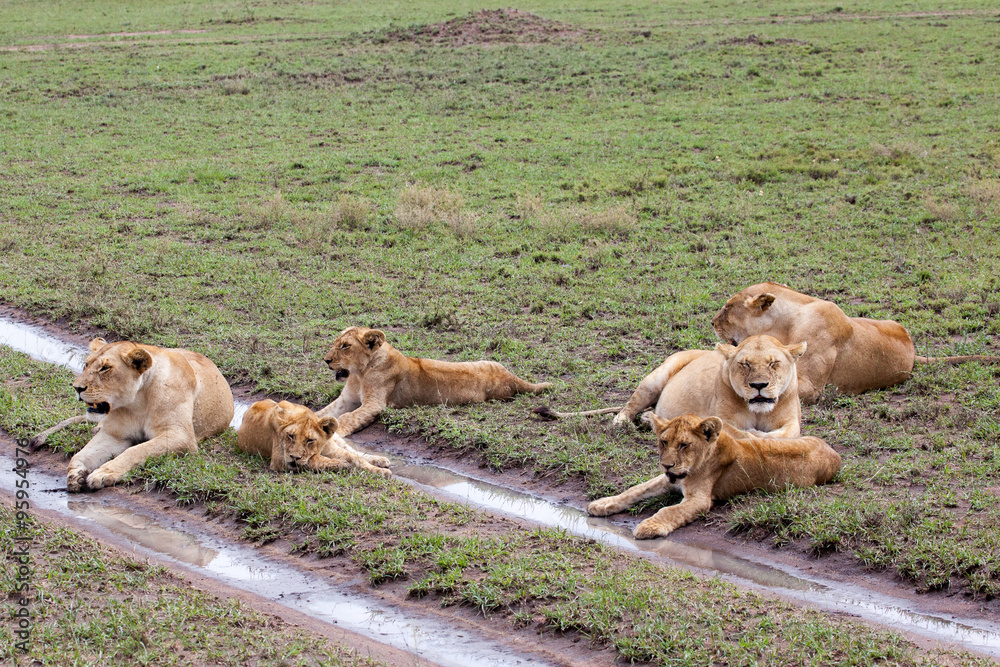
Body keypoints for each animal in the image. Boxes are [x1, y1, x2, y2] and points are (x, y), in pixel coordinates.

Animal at [65, 338, 234, 492]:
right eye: (86, 365)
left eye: (104, 368)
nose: (77, 388)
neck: (138, 403)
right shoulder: (114, 435)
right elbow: (81, 454)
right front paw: (76, 474)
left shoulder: (180, 436)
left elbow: (136, 451)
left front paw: (103, 473)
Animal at [237, 400, 392, 477]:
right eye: (290, 436)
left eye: (310, 440)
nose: (294, 457)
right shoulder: (280, 459)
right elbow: (315, 460)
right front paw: (341, 464)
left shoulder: (331, 449)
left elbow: (355, 457)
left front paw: (379, 471)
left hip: (335, 439)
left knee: (353, 451)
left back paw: (381, 460)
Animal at [317, 327, 553, 436]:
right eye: (336, 343)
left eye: (345, 346)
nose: (326, 359)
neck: (359, 373)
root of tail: (511, 376)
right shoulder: (346, 400)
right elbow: (323, 412)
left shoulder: (375, 403)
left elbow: (349, 417)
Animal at [536, 335, 806, 438]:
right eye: (745, 364)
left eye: (773, 363)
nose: (759, 385)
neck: (757, 411)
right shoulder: (721, 419)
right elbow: (741, 432)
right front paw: (754, 434)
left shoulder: (792, 421)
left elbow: (785, 434)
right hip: (655, 379)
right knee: (630, 406)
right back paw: (624, 422)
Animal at [587, 413, 841, 538]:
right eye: (664, 442)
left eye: (684, 445)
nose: (667, 465)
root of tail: (834, 452)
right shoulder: (669, 481)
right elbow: (635, 490)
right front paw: (602, 504)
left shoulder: (699, 498)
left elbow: (669, 510)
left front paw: (649, 526)